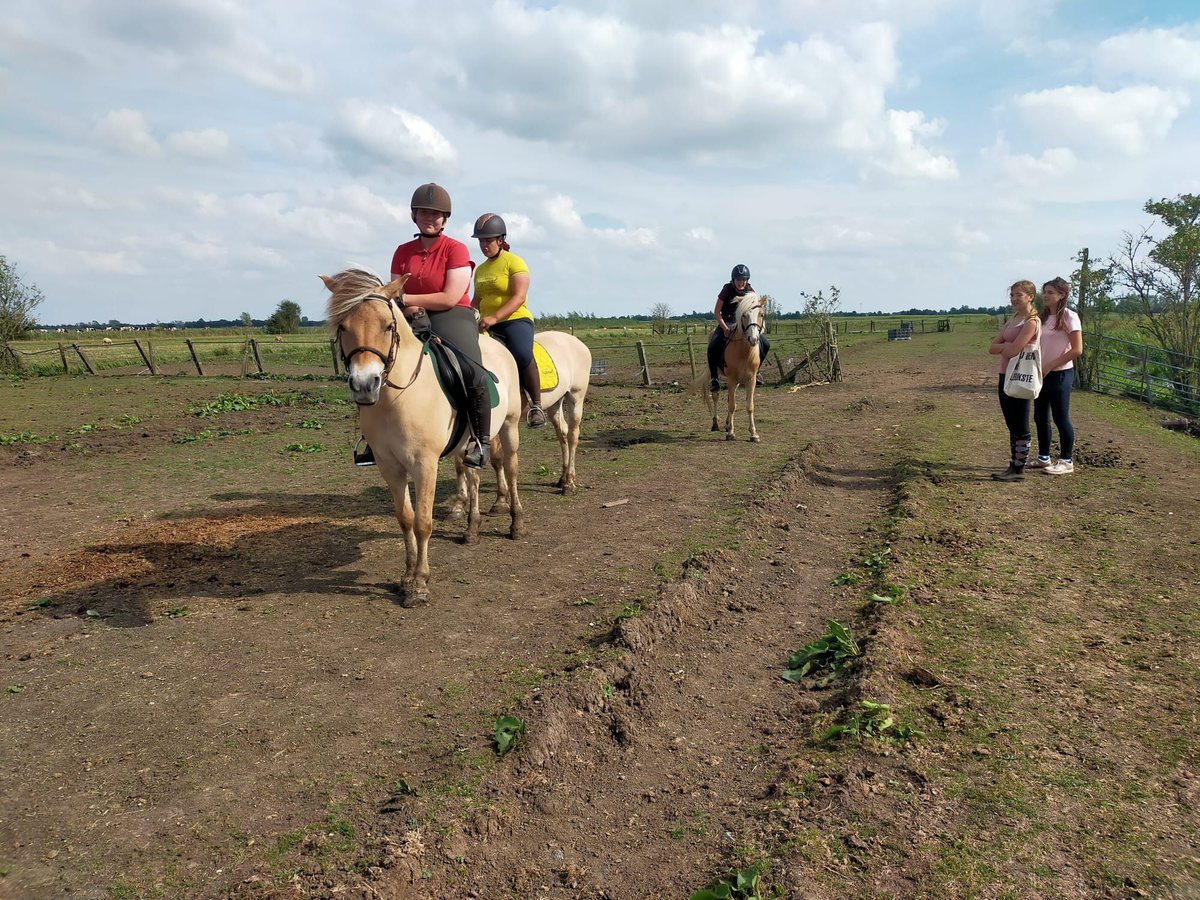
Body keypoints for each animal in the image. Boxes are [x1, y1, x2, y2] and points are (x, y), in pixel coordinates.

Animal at [321, 267, 523, 607]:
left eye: (388, 325)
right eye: (343, 326)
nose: (365, 385)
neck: (398, 397)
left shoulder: (424, 464)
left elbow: (423, 522)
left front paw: (419, 584)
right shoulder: (389, 466)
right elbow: (405, 518)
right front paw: (405, 577)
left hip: (509, 427)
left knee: (509, 469)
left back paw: (516, 523)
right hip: (467, 444)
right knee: (473, 477)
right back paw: (472, 529)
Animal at [700, 292, 768, 444]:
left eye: (761, 314)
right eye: (744, 315)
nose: (753, 339)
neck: (744, 352)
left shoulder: (751, 380)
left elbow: (749, 406)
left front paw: (753, 434)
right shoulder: (731, 378)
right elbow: (732, 405)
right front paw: (731, 433)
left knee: (729, 398)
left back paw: (726, 424)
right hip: (715, 374)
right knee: (716, 395)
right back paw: (716, 423)